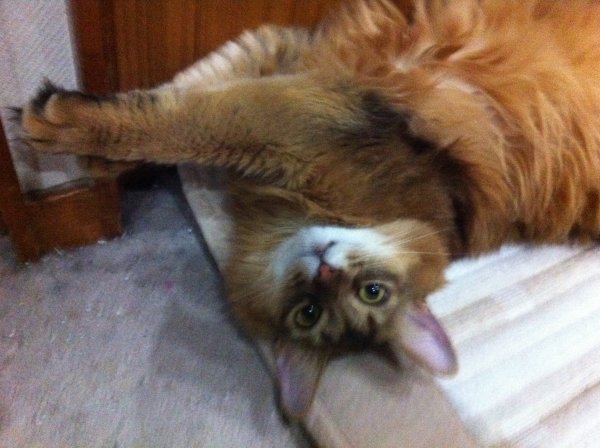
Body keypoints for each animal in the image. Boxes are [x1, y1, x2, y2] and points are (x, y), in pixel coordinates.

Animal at [18, 0, 600, 419]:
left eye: (369, 294)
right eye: (311, 310)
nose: (322, 270)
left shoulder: (303, 115)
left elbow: (187, 122)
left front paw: (64, 126)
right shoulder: (287, 53)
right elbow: (186, 88)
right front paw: (95, 153)